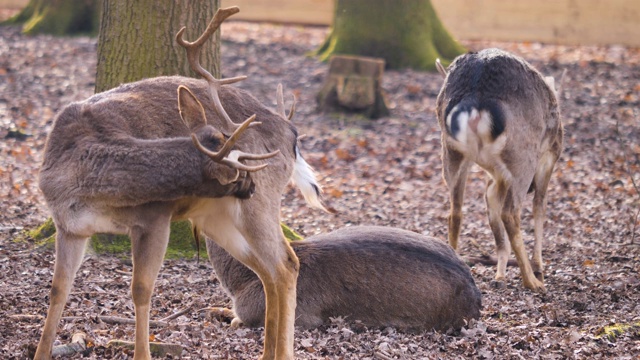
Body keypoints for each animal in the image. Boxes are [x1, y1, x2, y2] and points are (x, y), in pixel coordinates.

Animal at [32, 6, 328, 360]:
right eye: (236, 171)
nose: (251, 184)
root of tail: (291, 131)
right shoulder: (70, 226)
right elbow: (58, 290)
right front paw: (40, 352)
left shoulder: (155, 216)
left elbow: (141, 290)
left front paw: (143, 353)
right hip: (216, 217)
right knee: (266, 268)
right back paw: (267, 352)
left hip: (258, 206)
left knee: (286, 263)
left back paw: (281, 352)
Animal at [436, 48, 564, 292]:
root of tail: (474, 103)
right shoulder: (548, 158)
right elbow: (540, 208)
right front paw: (539, 268)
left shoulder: (497, 177)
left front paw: (500, 275)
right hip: (523, 157)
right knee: (511, 213)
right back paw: (532, 281)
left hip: (452, 153)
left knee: (455, 212)